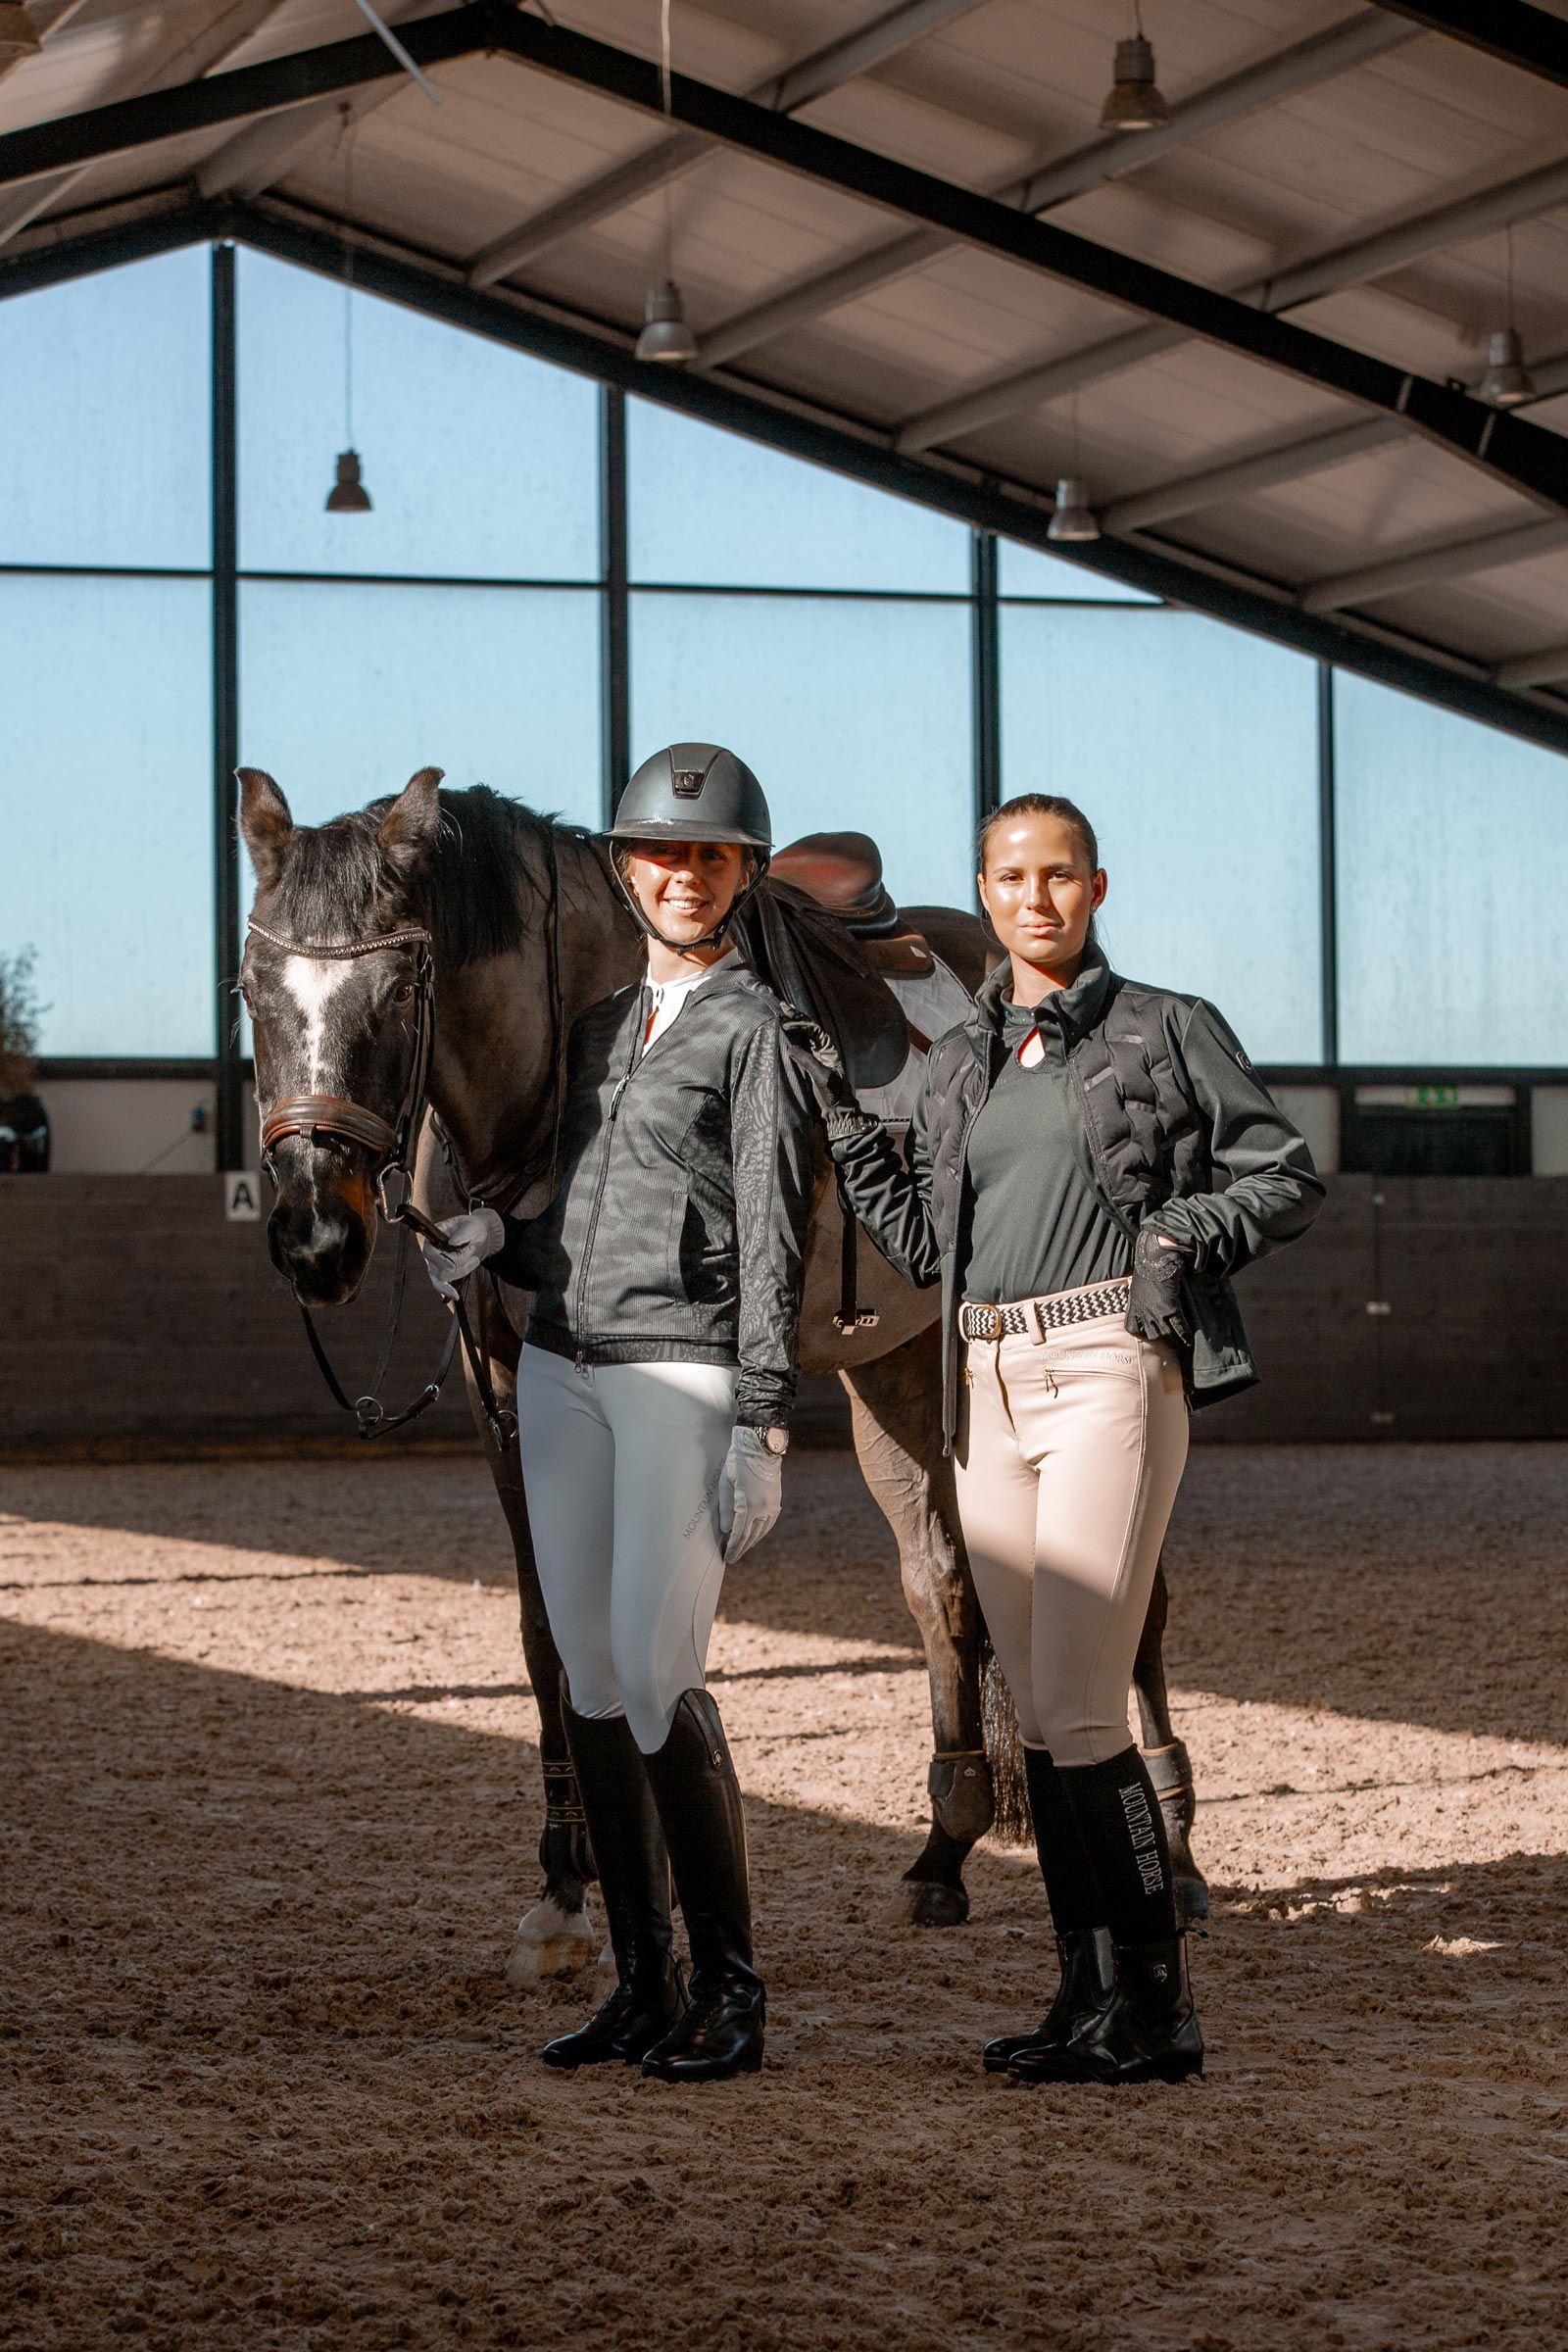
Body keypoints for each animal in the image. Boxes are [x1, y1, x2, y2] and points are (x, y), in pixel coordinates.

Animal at [237, 767, 1206, 1978]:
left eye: (400, 986)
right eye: (251, 989)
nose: (314, 1237)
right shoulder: (502, 1383)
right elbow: (548, 1632)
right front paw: (567, 1885)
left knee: (1135, 1598)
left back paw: (1176, 1856)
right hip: (896, 1375)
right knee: (942, 1583)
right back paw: (942, 1854)